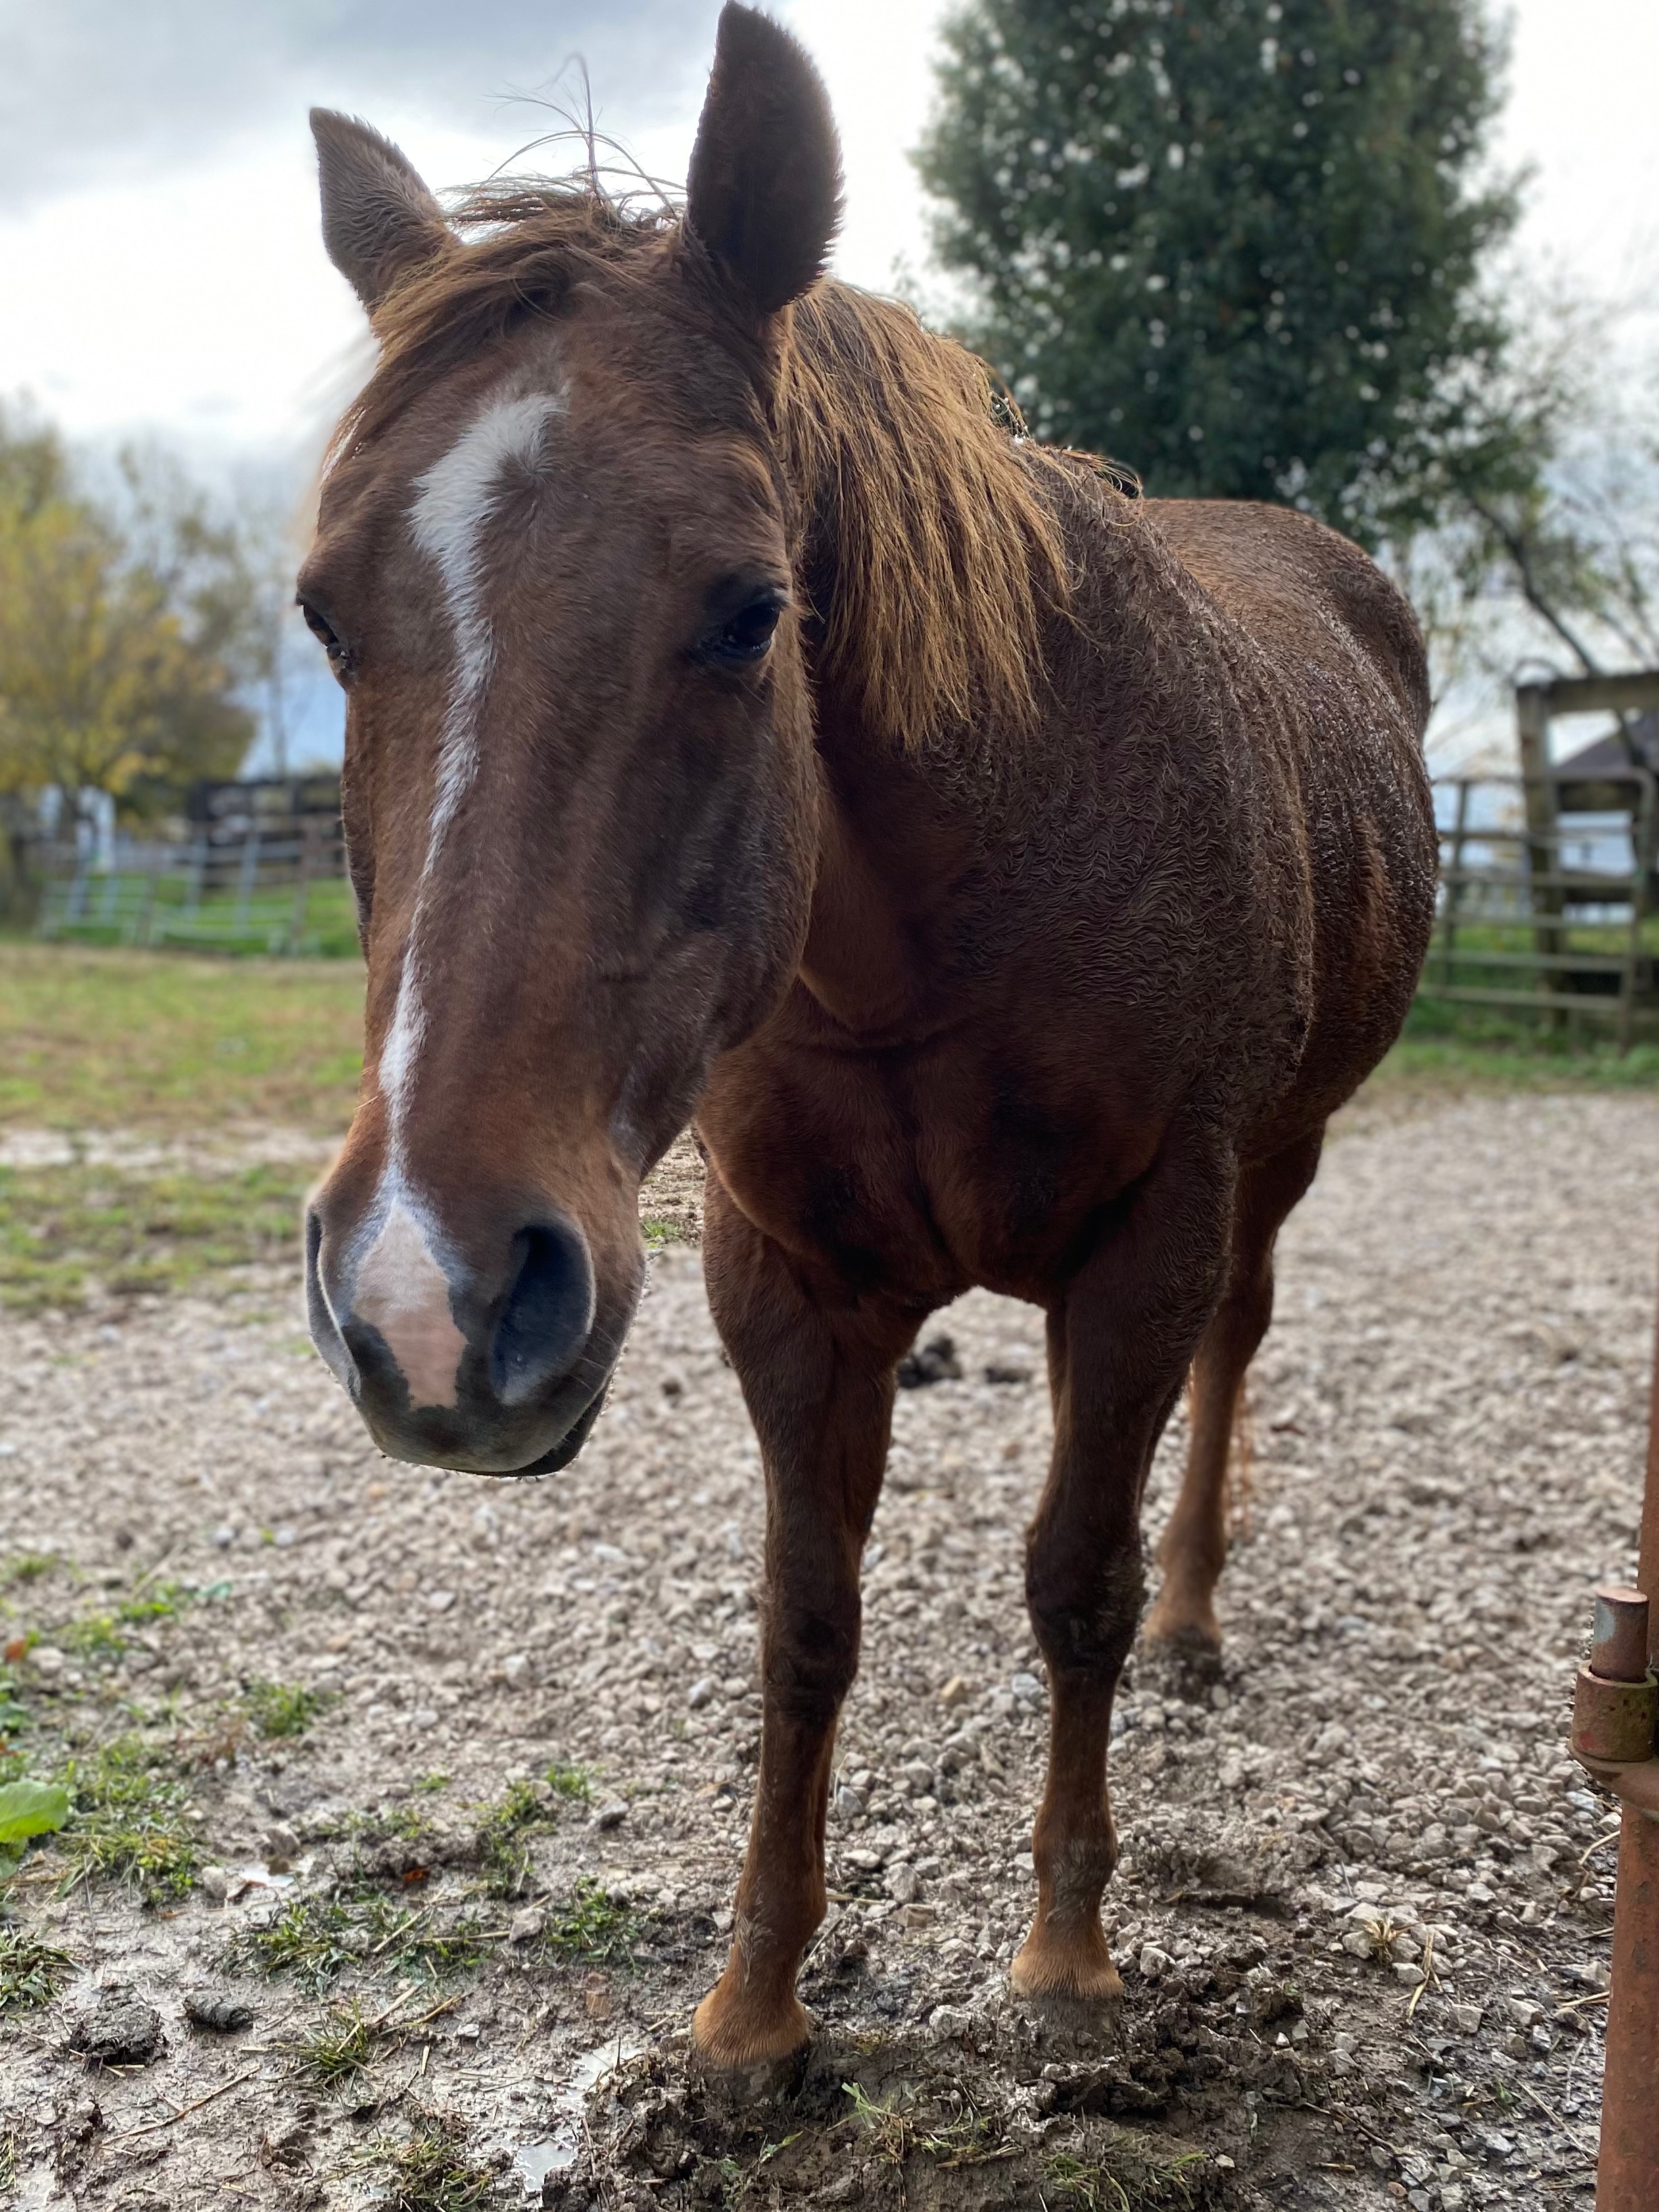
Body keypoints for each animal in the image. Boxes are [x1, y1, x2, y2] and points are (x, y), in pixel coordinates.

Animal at [300, 3, 1436, 2079]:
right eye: (327, 616)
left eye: (751, 608)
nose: (431, 1299)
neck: (936, 938)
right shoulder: (786, 1280)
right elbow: (804, 1619)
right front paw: (753, 2005)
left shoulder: (1145, 1239)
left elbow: (1071, 1582)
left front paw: (1063, 1961)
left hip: (1274, 1164)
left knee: (1227, 1364)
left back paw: (1195, 1619)